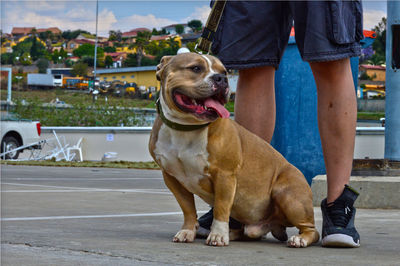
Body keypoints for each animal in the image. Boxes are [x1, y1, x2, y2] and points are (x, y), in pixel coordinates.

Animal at [148, 52, 320, 247]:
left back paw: (300, 239)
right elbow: (187, 208)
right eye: (196, 68)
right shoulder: (172, 178)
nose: (221, 78)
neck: (187, 128)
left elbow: (221, 208)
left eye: (224, 71)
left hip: (288, 196)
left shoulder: (225, 175)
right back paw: (233, 232)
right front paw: (188, 231)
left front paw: (217, 235)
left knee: (311, 229)